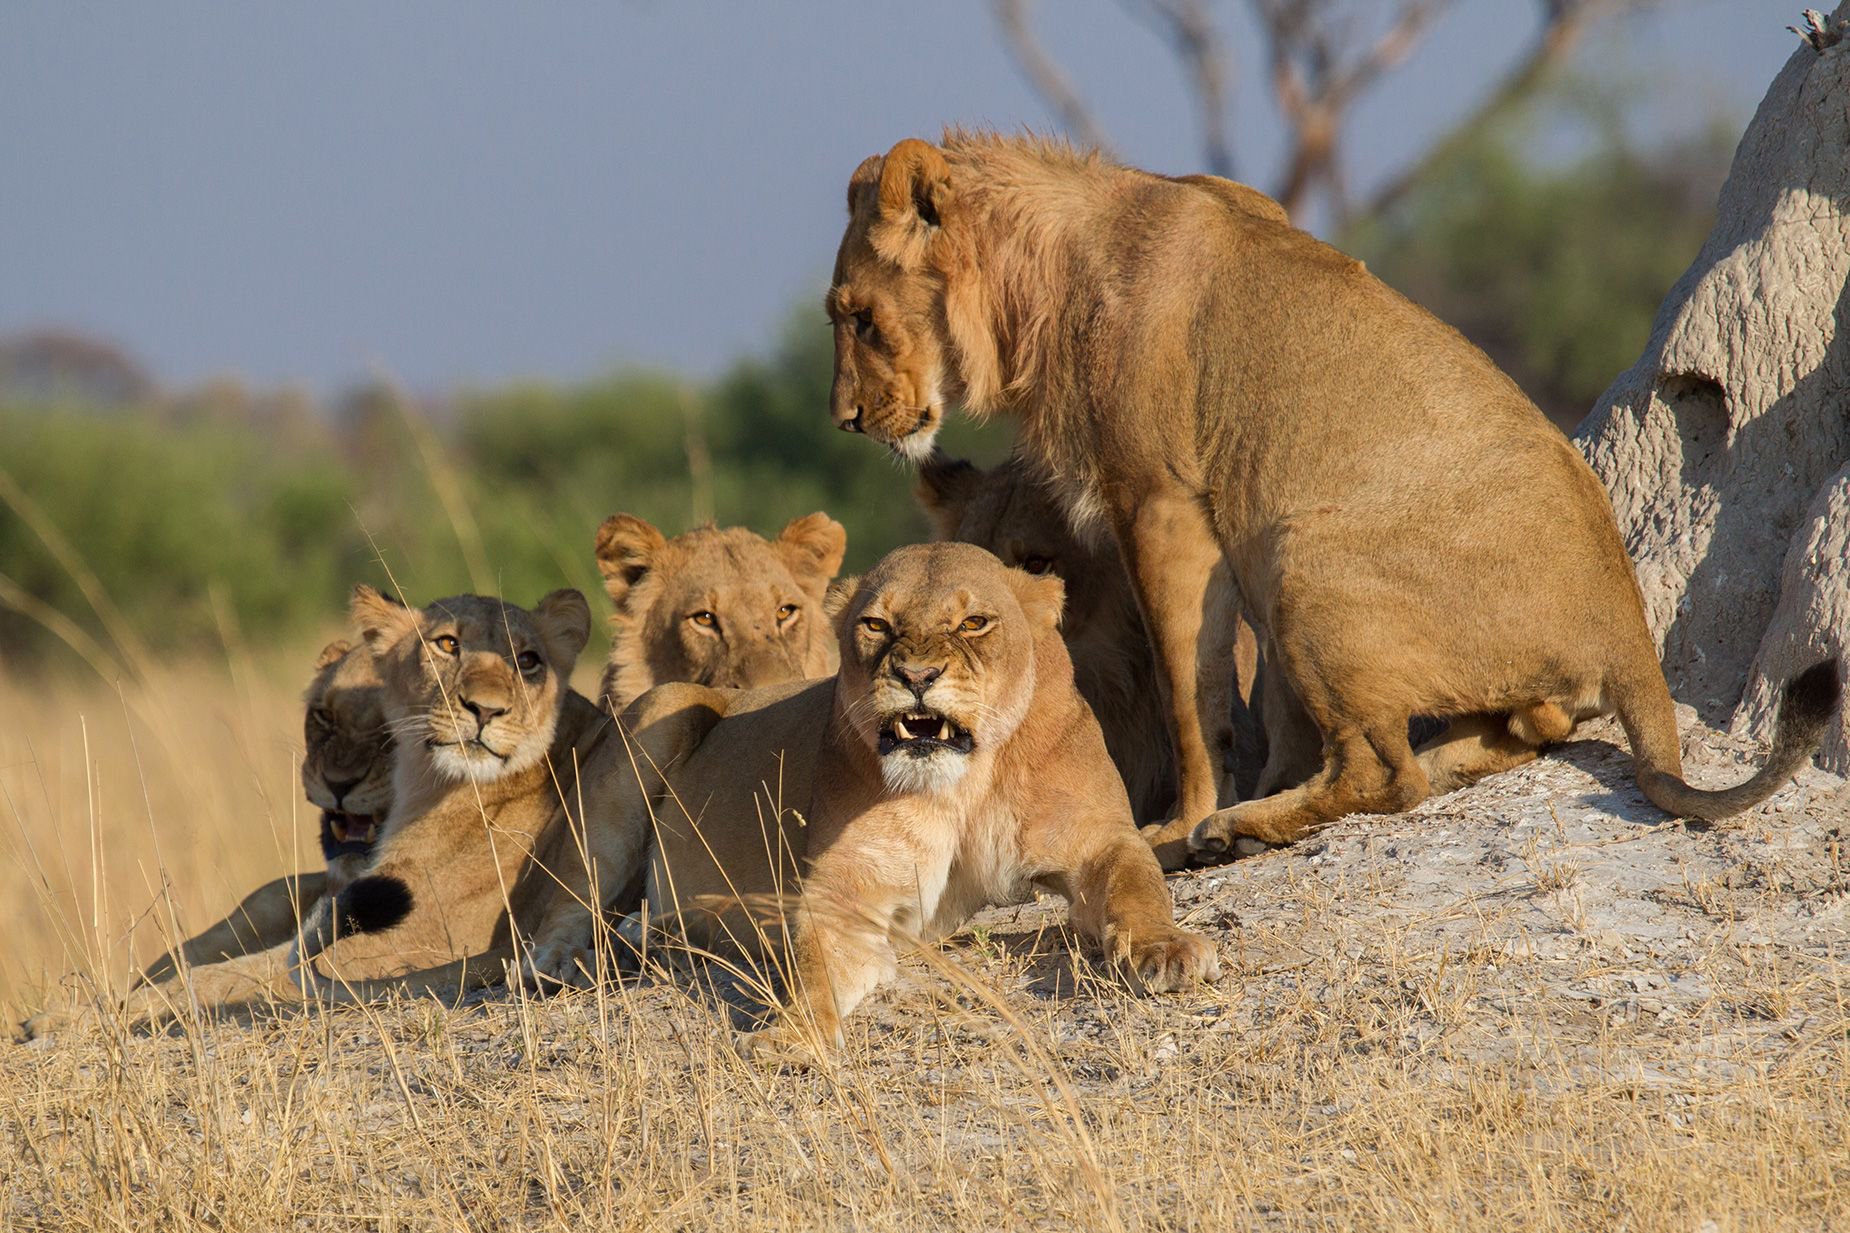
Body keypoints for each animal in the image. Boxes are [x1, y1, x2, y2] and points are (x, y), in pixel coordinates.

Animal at [609, 541, 1221, 1057]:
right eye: (876, 624)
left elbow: (1138, 889)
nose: (917, 675)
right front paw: (791, 1035)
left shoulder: (1099, 840)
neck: (965, 786)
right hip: (667, 706)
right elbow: (813, 969)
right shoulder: (845, 889)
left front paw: (1166, 951)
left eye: (973, 623)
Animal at [824, 131, 1843, 854]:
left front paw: (1181, 822)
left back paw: (1236, 829)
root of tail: (1628, 623)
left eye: (858, 318)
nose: (846, 420)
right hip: (1301, 560)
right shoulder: (1229, 517)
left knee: (1385, 775)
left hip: (1304, 554)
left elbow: (1190, 685)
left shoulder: (1161, 502)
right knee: (1508, 734)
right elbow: (1265, 697)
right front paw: (1269, 775)